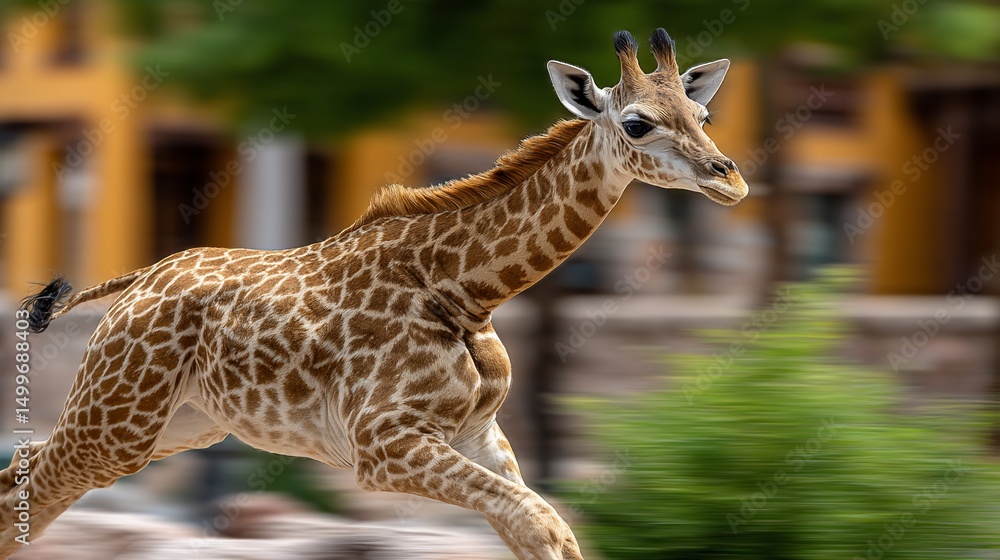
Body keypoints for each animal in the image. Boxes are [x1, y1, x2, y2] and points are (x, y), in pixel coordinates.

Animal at [2, 29, 746, 559]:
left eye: (704, 113)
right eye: (637, 123)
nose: (730, 178)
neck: (467, 290)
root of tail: (139, 281)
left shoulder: (479, 436)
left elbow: (548, 529)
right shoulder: (382, 443)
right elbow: (540, 522)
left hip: (178, 424)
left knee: (26, 477)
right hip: (118, 424)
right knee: (32, 485)